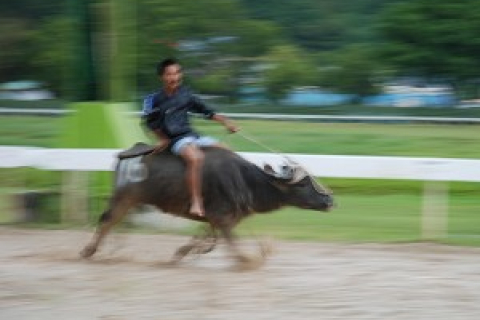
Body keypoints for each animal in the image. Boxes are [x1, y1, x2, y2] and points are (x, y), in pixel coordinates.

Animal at [80, 144, 334, 268]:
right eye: (303, 183)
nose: (329, 200)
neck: (244, 180)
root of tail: (124, 156)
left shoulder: (217, 219)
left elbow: (206, 239)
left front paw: (181, 253)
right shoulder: (222, 219)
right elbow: (230, 242)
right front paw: (246, 261)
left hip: (130, 202)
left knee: (112, 224)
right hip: (123, 198)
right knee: (106, 221)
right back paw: (87, 251)